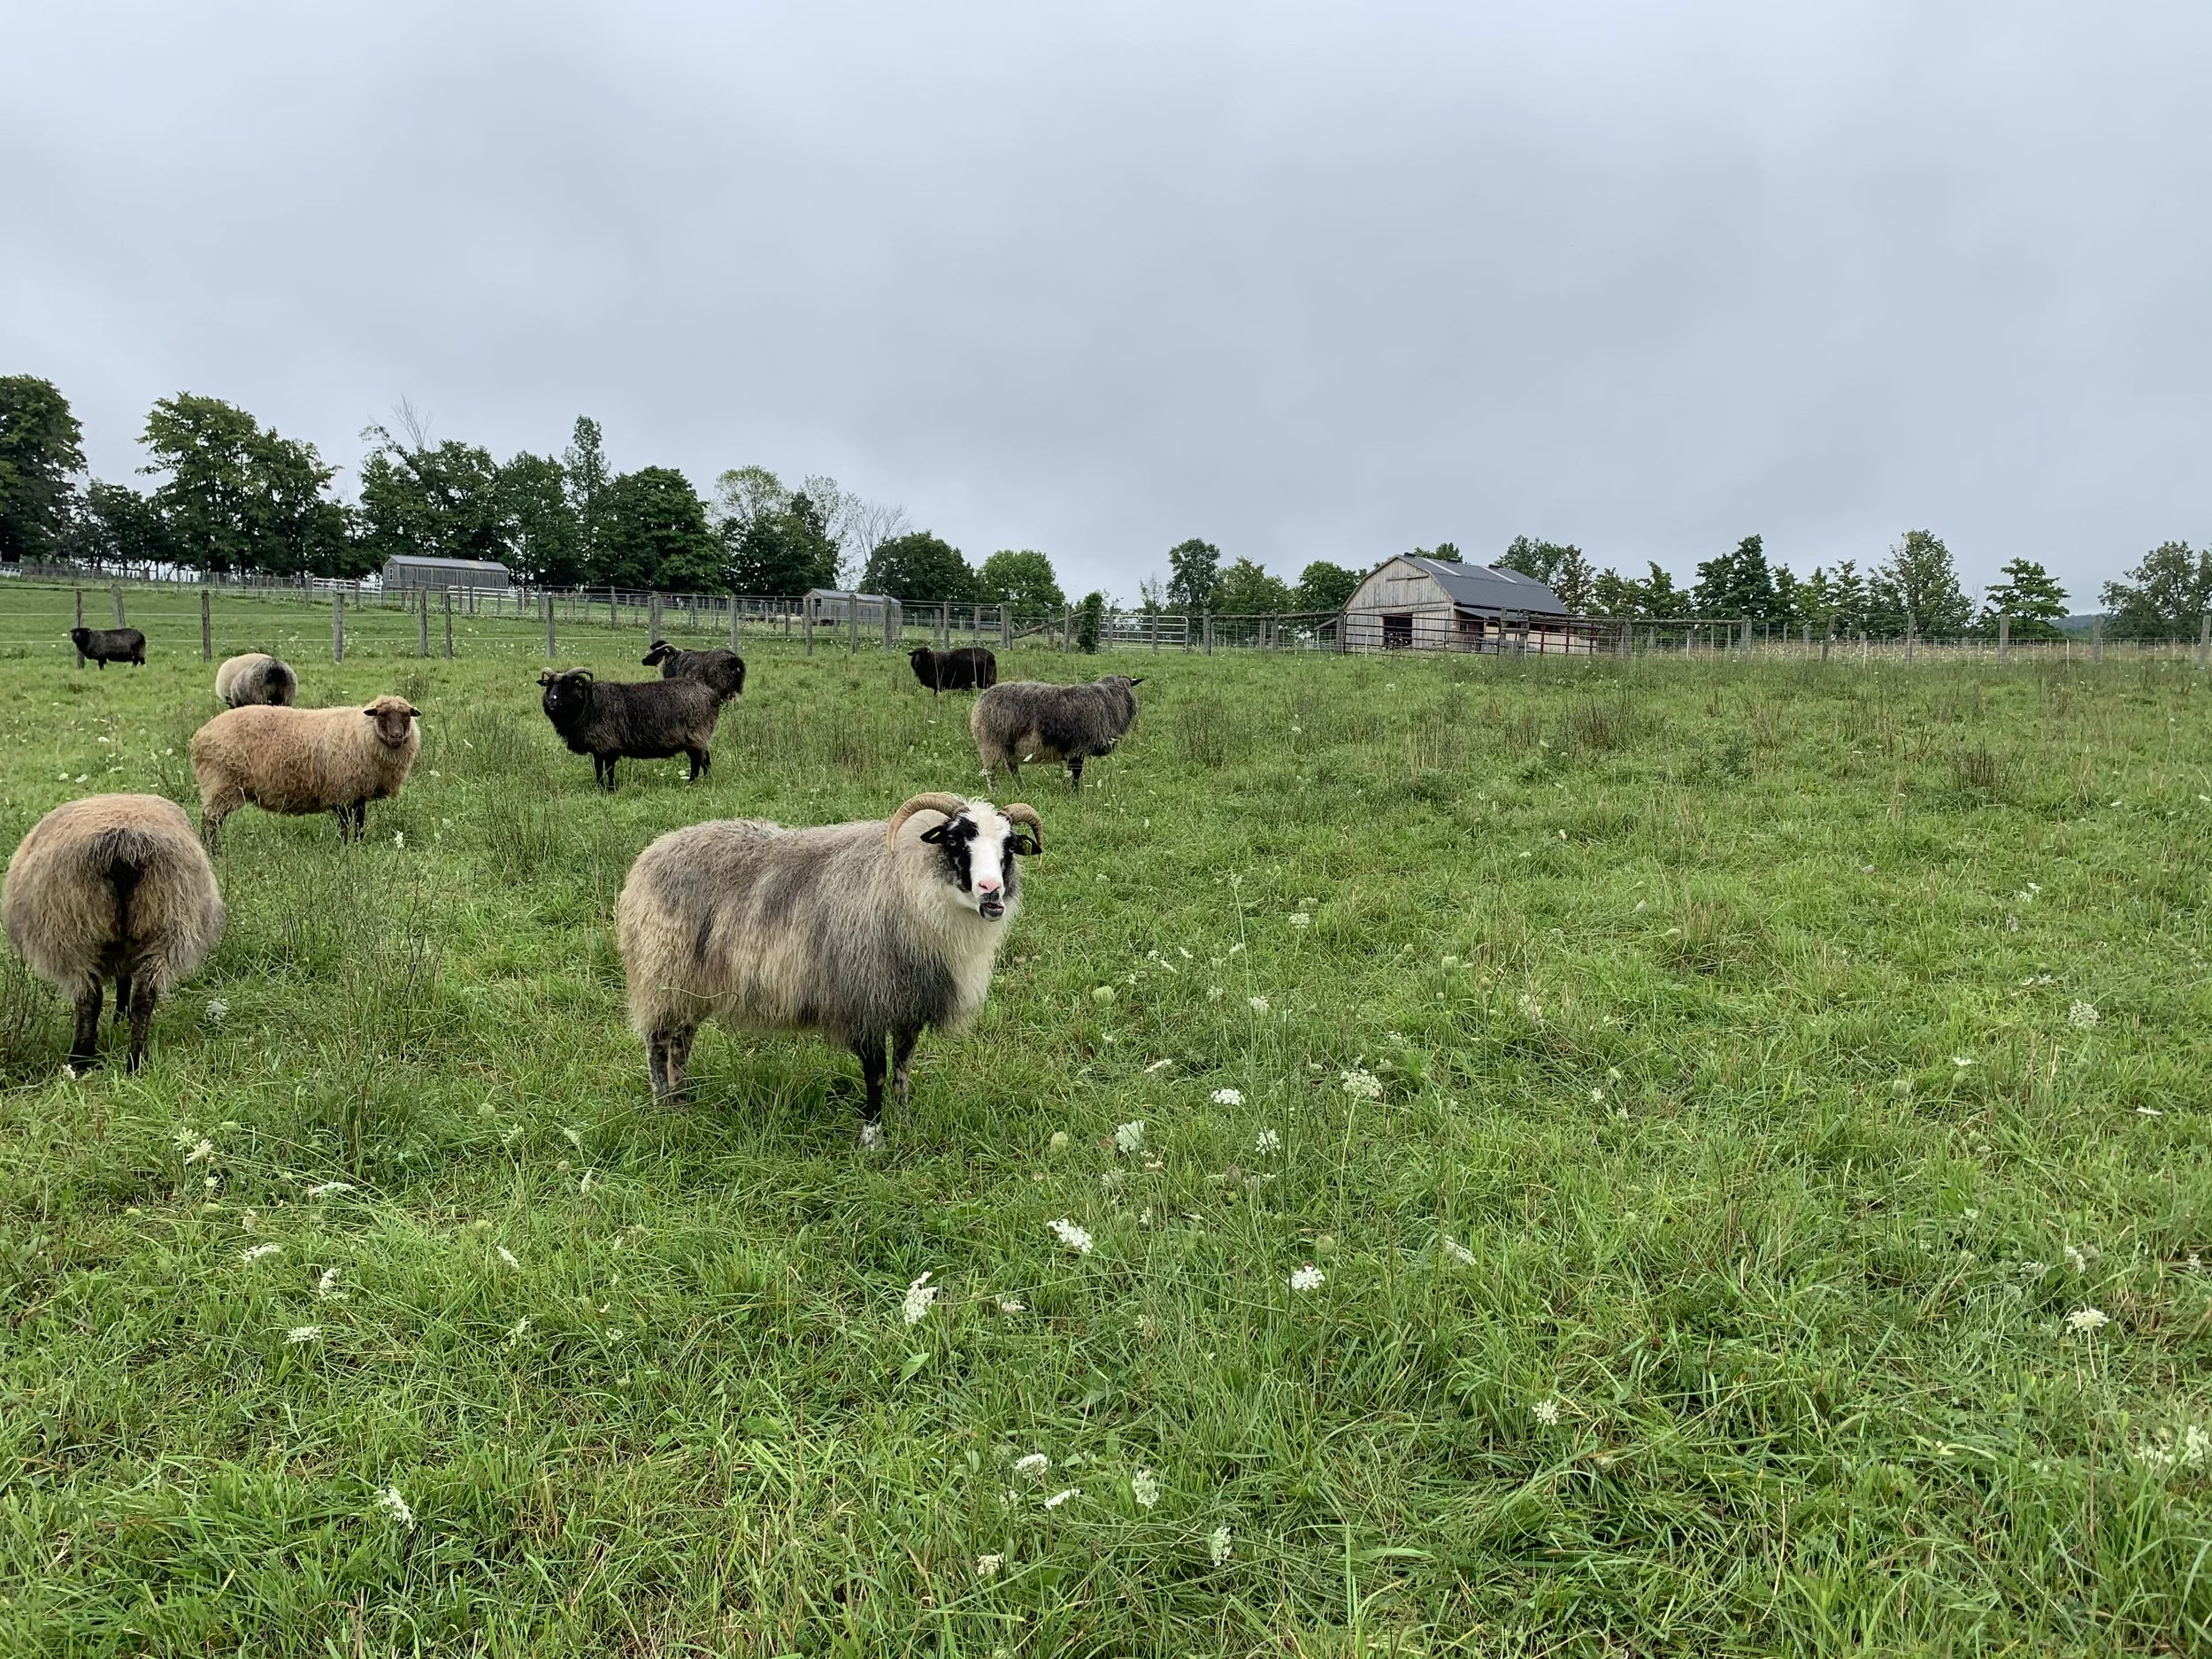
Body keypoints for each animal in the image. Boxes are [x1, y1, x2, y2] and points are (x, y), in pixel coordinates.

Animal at [2, 794, 224, 1072]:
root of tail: (123, 846)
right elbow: (125, 980)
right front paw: (121, 1015)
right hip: (169, 923)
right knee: (144, 997)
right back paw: (135, 1060)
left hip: (71, 933)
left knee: (89, 998)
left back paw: (81, 1058)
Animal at [189, 696, 422, 847]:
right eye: (382, 715)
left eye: (406, 716)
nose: (396, 737)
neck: (362, 732)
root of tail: (199, 735)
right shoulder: (343, 791)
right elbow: (346, 823)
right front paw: (347, 846)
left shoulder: (358, 793)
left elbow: (360, 822)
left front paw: (358, 844)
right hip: (221, 783)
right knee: (210, 821)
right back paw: (213, 851)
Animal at [538, 668, 724, 792]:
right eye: (549, 685)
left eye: (568, 685)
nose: (552, 700)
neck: (587, 704)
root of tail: (712, 695)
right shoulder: (598, 747)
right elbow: (598, 768)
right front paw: (599, 787)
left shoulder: (608, 744)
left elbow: (609, 769)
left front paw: (611, 789)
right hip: (699, 737)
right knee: (705, 759)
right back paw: (705, 781)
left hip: (695, 735)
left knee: (697, 761)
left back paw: (691, 784)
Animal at [615, 791, 1043, 1144]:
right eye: (954, 841)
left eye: (1009, 847)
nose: (991, 891)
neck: (907, 886)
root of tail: (653, 851)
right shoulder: (863, 1003)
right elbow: (877, 1073)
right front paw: (872, 1138)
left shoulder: (908, 1006)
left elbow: (903, 1068)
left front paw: (904, 1120)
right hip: (662, 972)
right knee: (658, 1041)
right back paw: (663, 1105)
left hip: (693, 983)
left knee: (682, 1040)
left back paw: (683, 1099)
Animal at [971, 675, 1144, 789]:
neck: (1108, 701)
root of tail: (981, 699)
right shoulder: (1077, 749)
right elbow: (1075, 774)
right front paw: (1074, 792)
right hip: (991, 744)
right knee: (990, 771)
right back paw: (995, 791)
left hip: (1009, 747)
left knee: (1012, 769)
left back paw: (1021, 787)